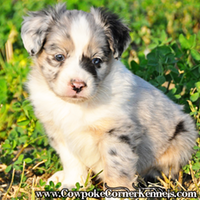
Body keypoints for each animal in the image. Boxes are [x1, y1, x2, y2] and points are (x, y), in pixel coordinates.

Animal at [21, 3, 197, 188]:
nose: (77, 85)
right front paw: (72, 184)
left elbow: (116, 169)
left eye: (96, 60)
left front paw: (117, 191)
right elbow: (72, 162)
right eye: (59, 57)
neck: (75, 106)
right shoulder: (61, 132)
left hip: (183, 136)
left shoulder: (116, 134)